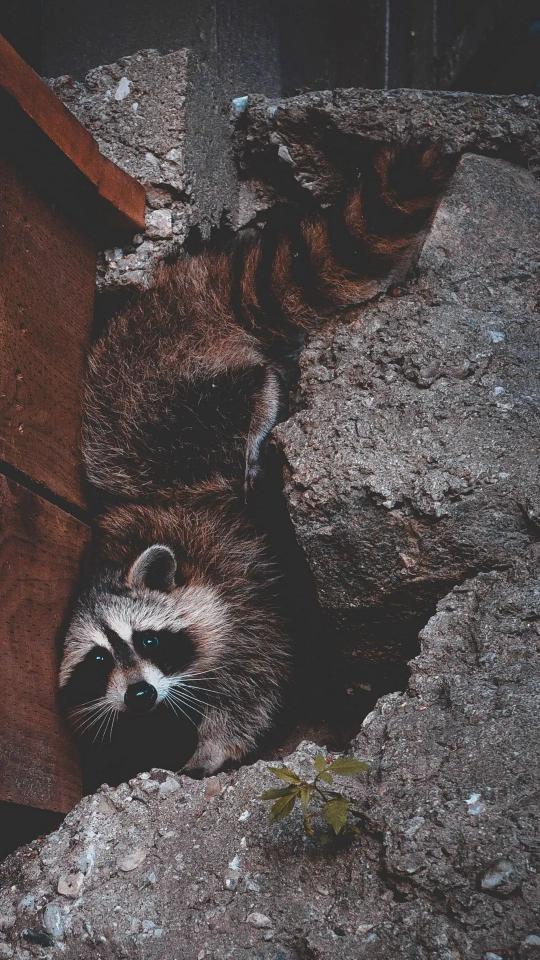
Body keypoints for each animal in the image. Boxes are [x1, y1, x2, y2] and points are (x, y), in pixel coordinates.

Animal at [59, 144, 452, 778]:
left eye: (147, 640)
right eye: (97, 661)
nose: (140, 694)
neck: (109, 559)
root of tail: (171, 302)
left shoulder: (242, 592)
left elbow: (256, 676)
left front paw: (213, 747)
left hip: (170, 407)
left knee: (238, 392)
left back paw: (261, 403)